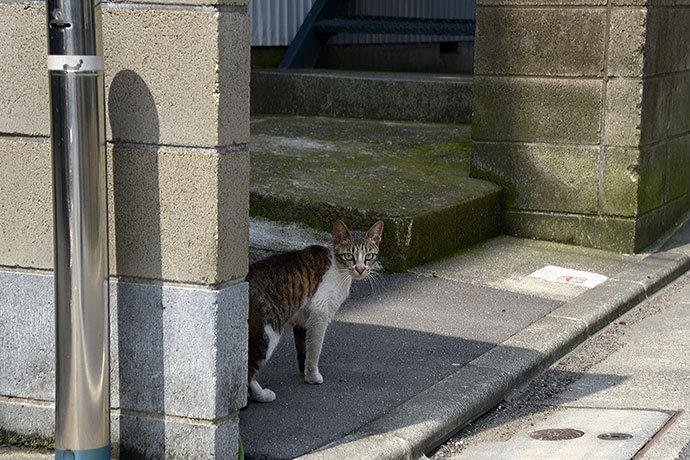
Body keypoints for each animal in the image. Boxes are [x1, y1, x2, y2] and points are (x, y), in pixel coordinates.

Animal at [245, 219, 382, 402]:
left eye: (368, 256)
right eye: (349, 256)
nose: (360, 269)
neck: (339, 270)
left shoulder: (302, 320)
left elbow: (304, 346)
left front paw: (304, 371)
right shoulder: (320, 312)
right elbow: (315, 348)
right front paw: (313, 377)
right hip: (267, 331)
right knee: (246, 371)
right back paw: (261, 396)